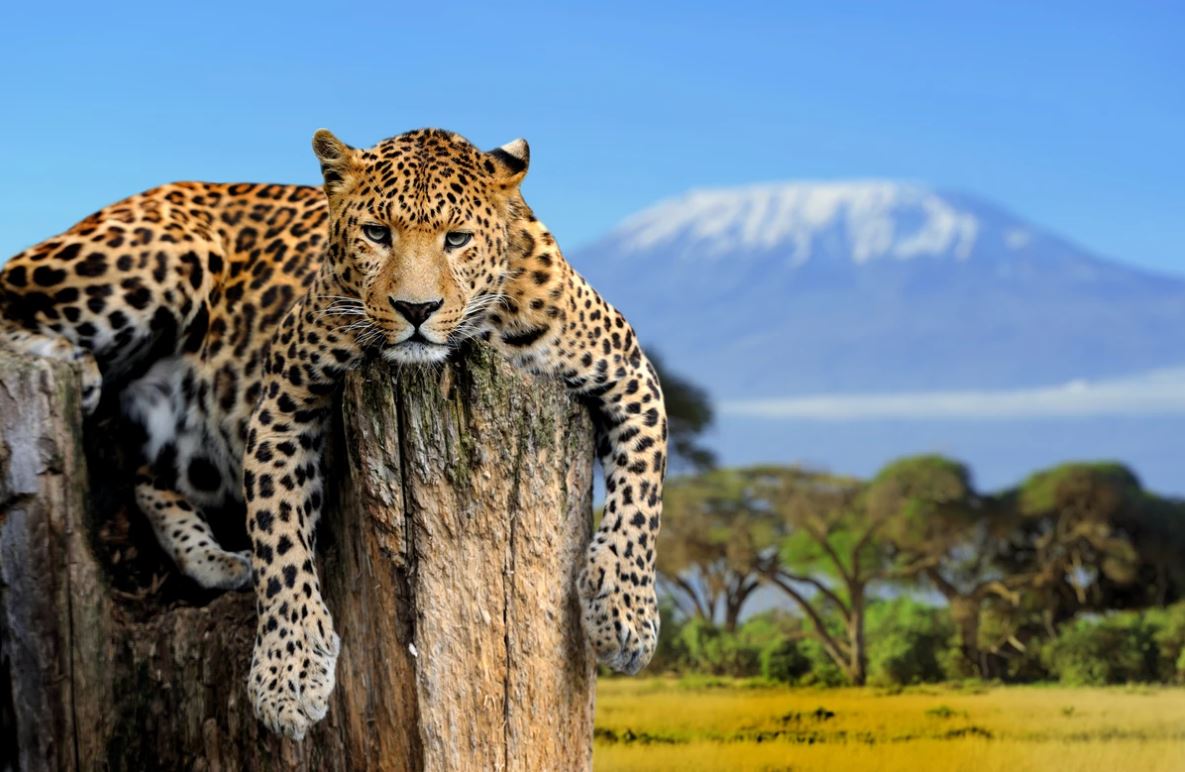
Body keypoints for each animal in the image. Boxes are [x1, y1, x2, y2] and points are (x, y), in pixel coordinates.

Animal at [0, 128, 667, 739]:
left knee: (146, 477)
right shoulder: (284, 398)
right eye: (376, 233)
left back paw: (218, 560)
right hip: (162, 255)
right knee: (12, 295)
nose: (416, 310)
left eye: (456, 239)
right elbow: (280, 538)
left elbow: (642, 497)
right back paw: (77, 366)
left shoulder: (632, 374)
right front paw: (288, 675)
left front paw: (624, 616)